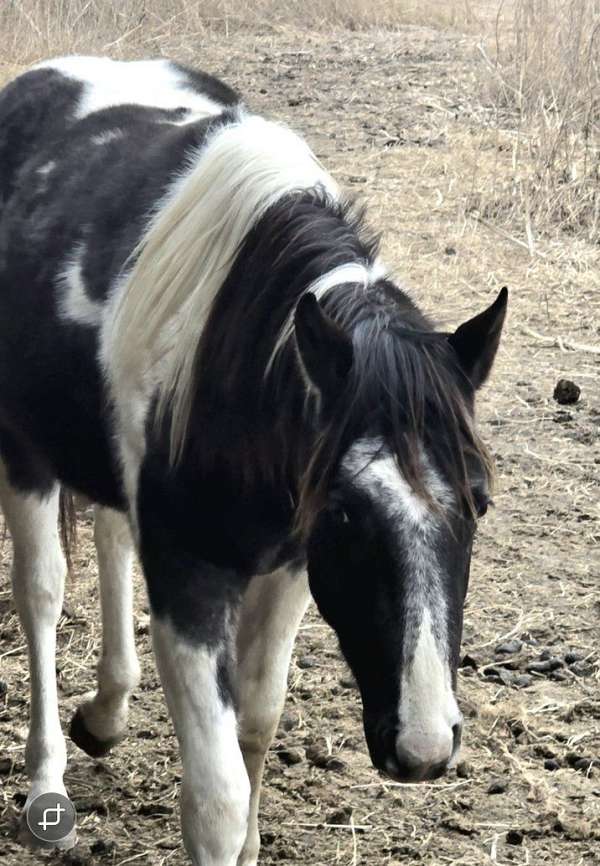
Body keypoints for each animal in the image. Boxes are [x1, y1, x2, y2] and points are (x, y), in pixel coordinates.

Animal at [0, 55, 507, 866]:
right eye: (346, 511)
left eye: (479, 501)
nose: (425, 747)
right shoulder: (190, 578)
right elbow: (216, 795)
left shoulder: (291, 566)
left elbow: (259, 721)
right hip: (23, 452)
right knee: (40, 595)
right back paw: (46, 782)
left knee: (110, 536)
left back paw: (107, 710)